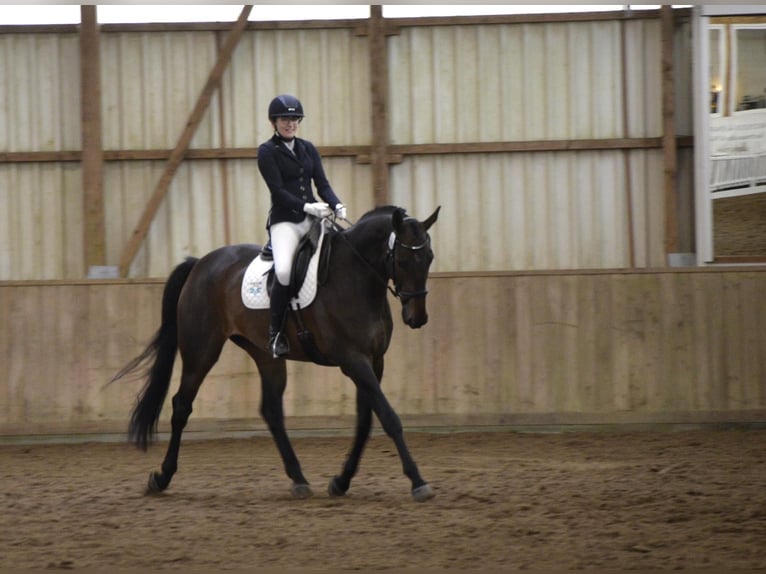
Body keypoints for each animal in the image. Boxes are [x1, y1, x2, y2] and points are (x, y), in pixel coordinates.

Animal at [111, 205, 441, 502]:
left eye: (429, 258)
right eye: (402, 259)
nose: (418, 318)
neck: (355, 278)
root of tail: (200, 263)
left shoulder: (374, 361)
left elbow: (365, 421)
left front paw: (341, 481)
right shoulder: (353, 360)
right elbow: (388, 417)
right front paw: (418, 481)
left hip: (264, 355)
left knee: (271, 410)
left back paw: (299, 479)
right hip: (201, 351)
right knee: (181, 406)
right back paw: (162, 477)